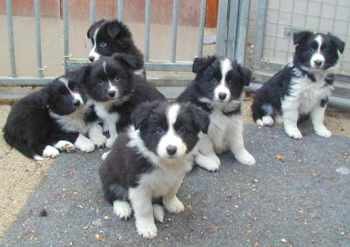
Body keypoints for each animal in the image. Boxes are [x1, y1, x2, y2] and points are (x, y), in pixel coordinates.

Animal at [98, 101, 209, 239]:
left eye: (183, 130)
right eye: (158, 130)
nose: (171, 150)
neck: (164, 162)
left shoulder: (177, 177)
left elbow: (171, 192)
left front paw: (172, 204)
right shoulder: (139, 185)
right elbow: (144, 209)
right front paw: (147, 228)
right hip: (108, 174)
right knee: (112, 194)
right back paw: (122, 208)